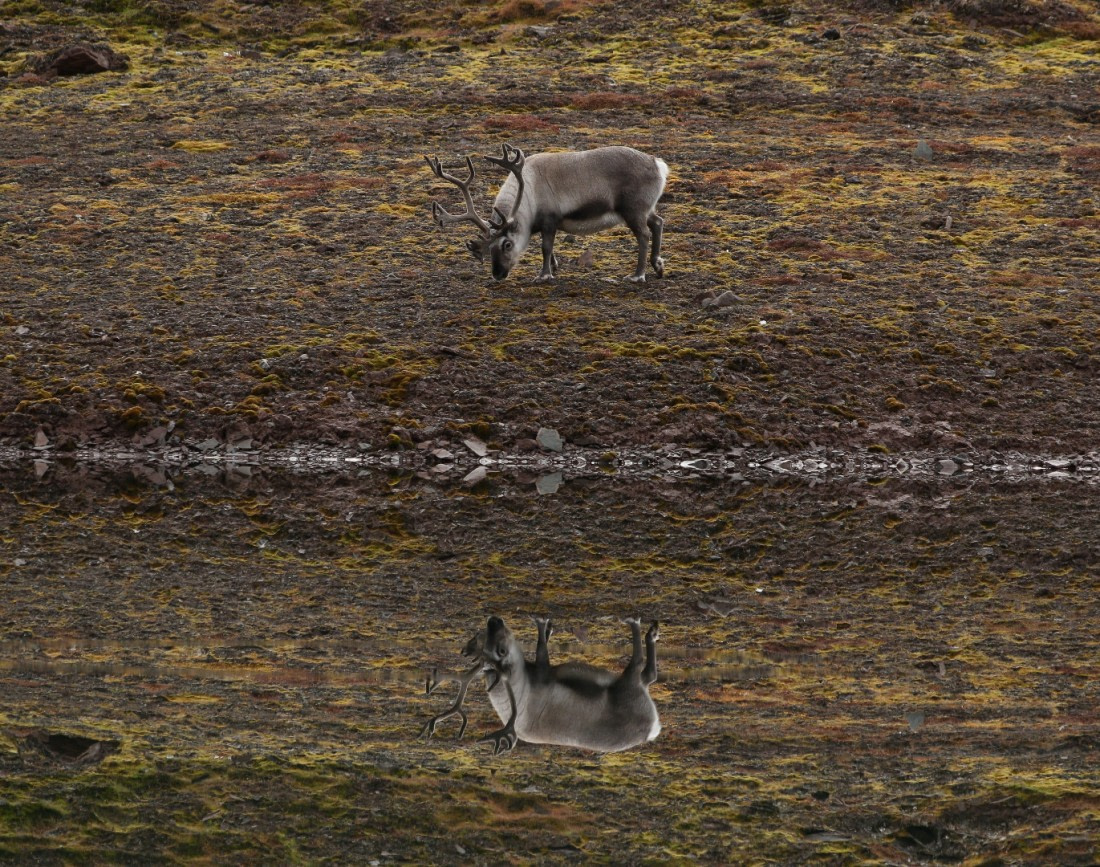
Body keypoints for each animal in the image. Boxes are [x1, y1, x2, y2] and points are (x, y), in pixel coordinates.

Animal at [419, 616, 661, 754]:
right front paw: (542, 625)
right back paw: (645, 629)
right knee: (645, 670)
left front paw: (547, 629)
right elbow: (541, 650)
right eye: (501, 651)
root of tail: (653, 728)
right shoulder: (543, 672)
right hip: (629, 686)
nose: (495, 619)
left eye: (480, 636)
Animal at [424, 144, 669, 283]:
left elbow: (545, 247)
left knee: (644, 235)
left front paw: (543, 275)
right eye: (488, 248)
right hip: (646, 209)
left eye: (507, 244)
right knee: (658, 222)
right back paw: (657, 265)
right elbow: (549, 251)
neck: (528, 195)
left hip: (632, 210)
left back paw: (638, 275)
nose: (497, 275)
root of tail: (658, 164)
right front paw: (554, 267)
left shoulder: (550, 220)